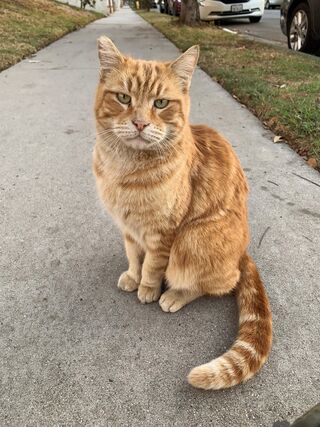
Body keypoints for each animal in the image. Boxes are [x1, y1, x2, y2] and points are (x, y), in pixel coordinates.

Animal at [94, 36, 272, 392]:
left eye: (161, 103)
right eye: (123, 98)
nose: (139, 123)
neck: (126, 168)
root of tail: (244, 250)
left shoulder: (163, 232)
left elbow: (152, 265)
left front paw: (147, 288)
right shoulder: (128, 228)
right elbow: (134, 256)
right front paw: (132, 276)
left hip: (194, 238)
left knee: (219, 281)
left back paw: (175, 294)